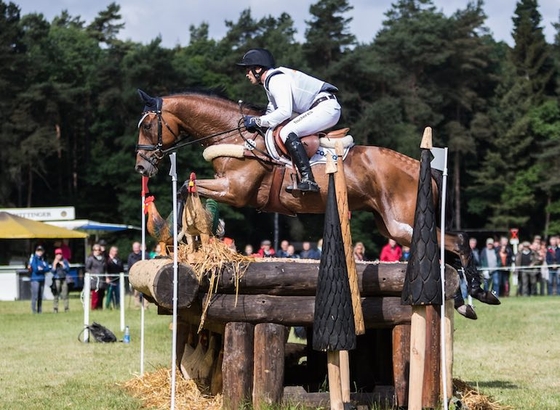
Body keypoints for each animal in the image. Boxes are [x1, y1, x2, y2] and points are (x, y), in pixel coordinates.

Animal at [135, 88, 498, 318]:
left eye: (149, 125)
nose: (142, 167)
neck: (235, 135)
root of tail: (417, 166)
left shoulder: (235, 191)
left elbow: (185, 188)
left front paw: (181, 235)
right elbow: (187, 189)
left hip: (403, 224)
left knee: (457, 241)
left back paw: (480, 294)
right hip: (392, 226)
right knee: (444, 249)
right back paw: (469, 300)